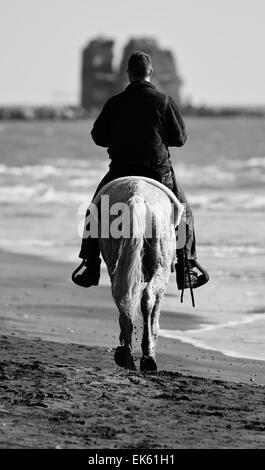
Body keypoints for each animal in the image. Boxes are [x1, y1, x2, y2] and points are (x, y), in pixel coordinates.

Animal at [95, 176, 184, 370]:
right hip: (162, 267)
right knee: (148, 297)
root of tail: (137, 195)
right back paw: (148, 357)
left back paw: (126, 354)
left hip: (114, 263)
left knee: (122, 300)